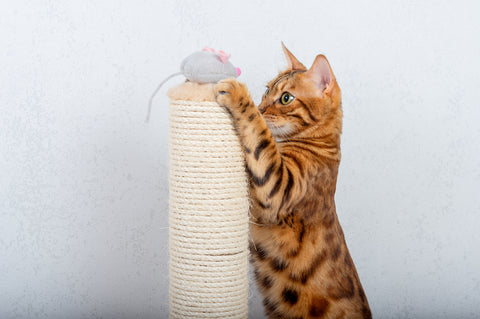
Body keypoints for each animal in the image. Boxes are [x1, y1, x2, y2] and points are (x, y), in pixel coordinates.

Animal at [216, 45, 374, 319]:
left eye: (286, 98)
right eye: (266, 91)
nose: (260, 107)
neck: (320, 144)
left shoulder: (278, 188)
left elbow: (260, 135)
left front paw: (238, 93)